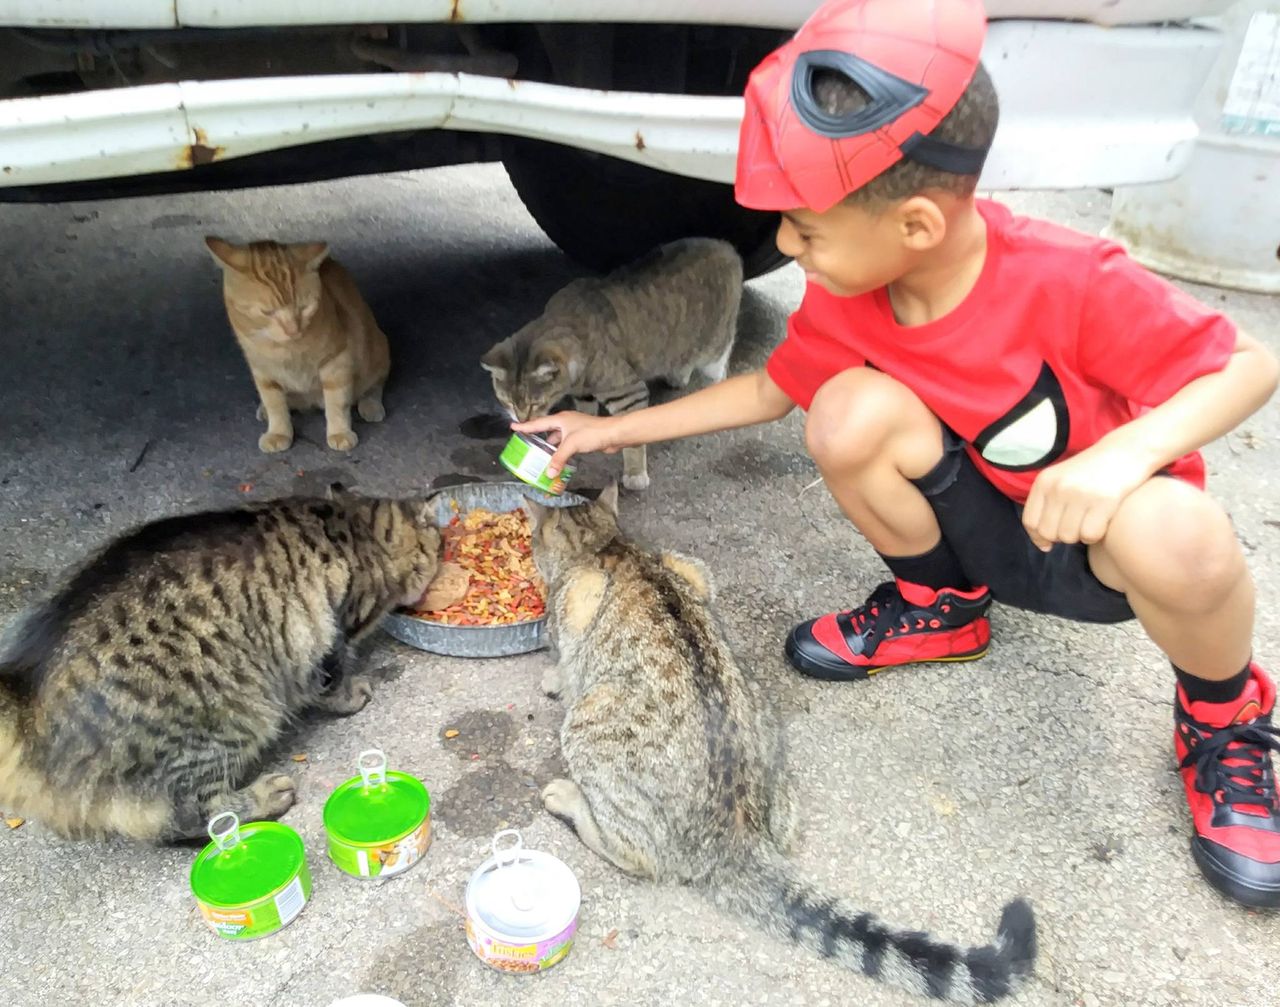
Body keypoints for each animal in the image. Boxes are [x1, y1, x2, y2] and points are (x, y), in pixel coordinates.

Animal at [0, 491, 440, 839]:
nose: (443, 545)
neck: (348, 524)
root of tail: (26, 701)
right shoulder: (331, 631)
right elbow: (333, 676)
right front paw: (352, 694)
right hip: (228, 724)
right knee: (195, 817)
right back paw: (263, 798)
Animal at [206, 237, 389, 450]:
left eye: (304, 307)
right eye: (267, 312)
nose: (292, 329)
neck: (283, 349)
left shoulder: (337, 360)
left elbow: (337, 401)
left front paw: (340, 431)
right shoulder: (261, 368)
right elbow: (274, 402)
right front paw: (278, 431)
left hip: (376, 352)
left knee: (374, 385)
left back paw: (370, 404)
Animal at [481, 236, 742, 488]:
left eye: (536, 403)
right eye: (506, 401)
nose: (521, 420)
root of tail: (726, 247)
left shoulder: (629, 394)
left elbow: (633, 440)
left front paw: (635, 474)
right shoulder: (583, 393)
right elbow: (585, 410)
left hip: (714, 347)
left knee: (721, 359)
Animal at [524, 488, 1034, 998]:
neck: (609, 548)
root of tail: (735, 833)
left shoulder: (575, 617)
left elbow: (567, 662)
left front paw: (553, 678)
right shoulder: (693, 570)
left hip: (589, 723)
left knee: (640, 856)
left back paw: (570, 799)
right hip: (763, 726)